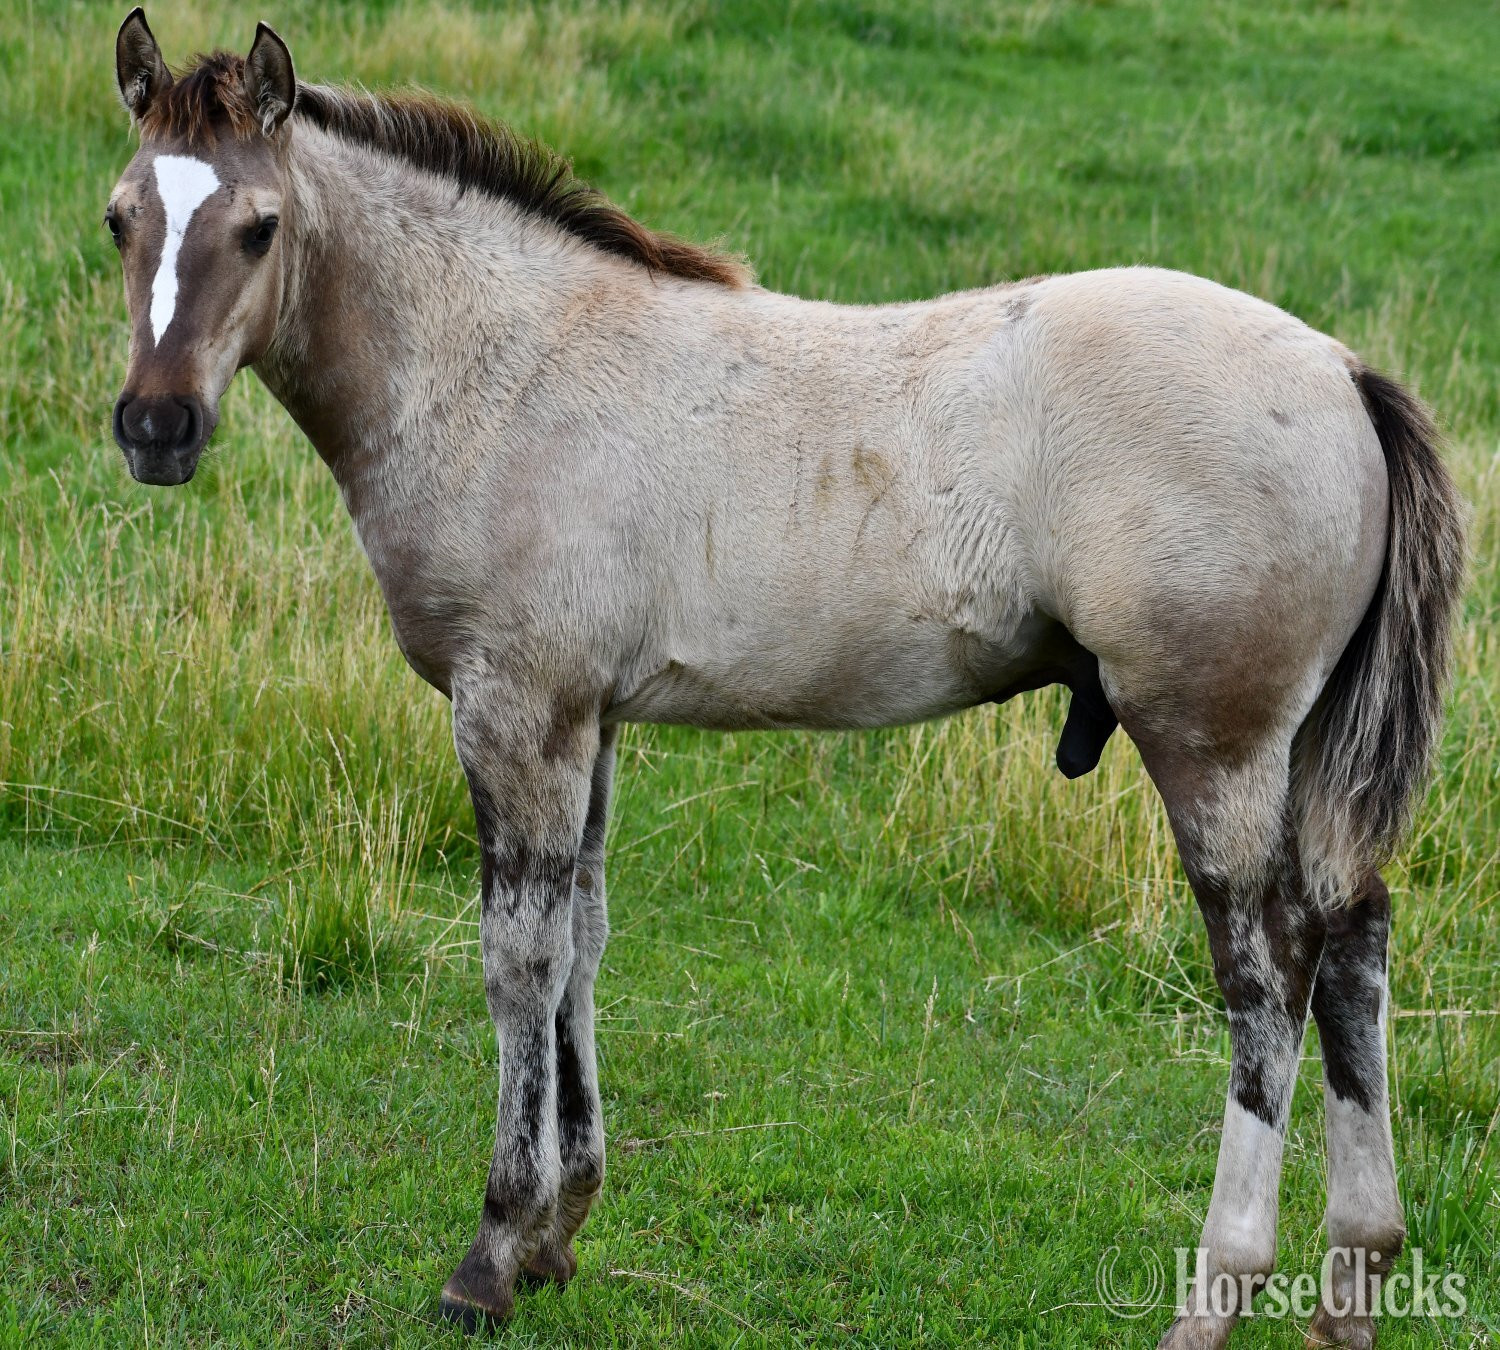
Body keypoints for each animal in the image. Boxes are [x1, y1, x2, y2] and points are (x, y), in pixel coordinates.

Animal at [104, 12, 1464, 1346]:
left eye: (258, 226)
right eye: (122, 218)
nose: (155, 428)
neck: (508, 371)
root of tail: (1342, 372)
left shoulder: (516, 708)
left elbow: (517, 960)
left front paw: (490, 1253)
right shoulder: (589, 717)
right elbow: (585, 939)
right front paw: (558, 1234)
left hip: (1211, 742)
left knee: (1267, 976)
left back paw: (1218, 1290)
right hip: (1297, 753)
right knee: (1353, 934)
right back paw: (1355, 1278)